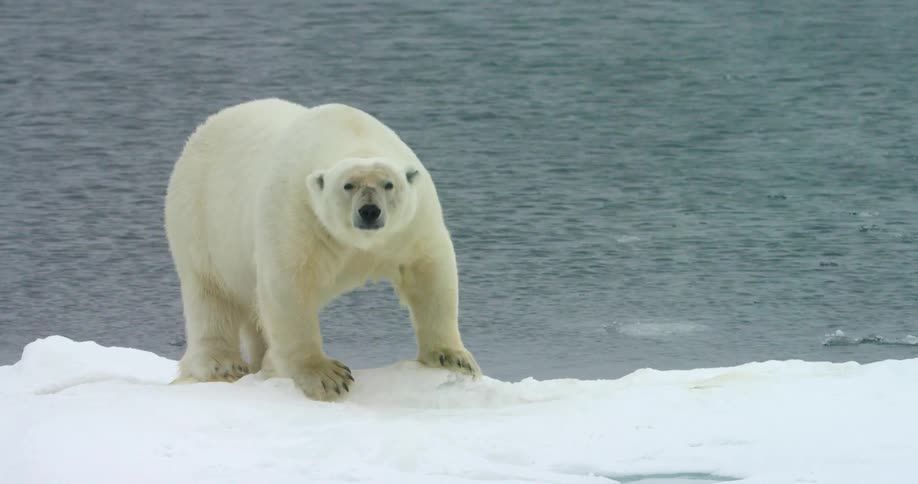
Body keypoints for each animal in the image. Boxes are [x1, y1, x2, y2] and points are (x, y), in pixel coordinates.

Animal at [164, 99, 480, 401]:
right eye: (348, 185)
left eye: (388, 184)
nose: (369, 211)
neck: (349, 131)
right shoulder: (298, 215)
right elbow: (288, 287)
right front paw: (327, 377)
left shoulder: (411, 224)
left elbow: (429, 271)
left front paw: (453, 358)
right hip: (199, 221)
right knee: (212, 296)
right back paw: (222, 365)